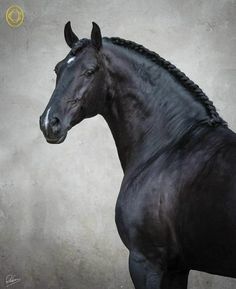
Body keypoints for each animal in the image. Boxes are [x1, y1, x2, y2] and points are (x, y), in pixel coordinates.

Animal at [39, 23, 236, 288]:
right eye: (58, 68)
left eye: (90, 71)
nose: (49, 122)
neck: (168, 146)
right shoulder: (177, 268)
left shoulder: (145, 261)